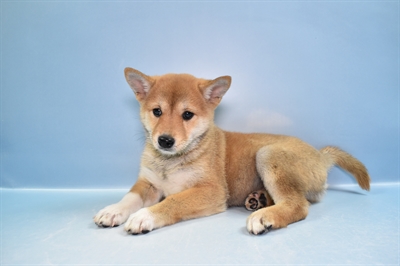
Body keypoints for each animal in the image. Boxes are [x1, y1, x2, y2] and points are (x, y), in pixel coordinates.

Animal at [92, 67, 370, 236]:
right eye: (157, 111)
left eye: (187, 115)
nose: (165, 140)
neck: (170, 162)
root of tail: (321, 157)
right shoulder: (148, 184)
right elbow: (129, 197)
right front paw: (112, 210)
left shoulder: (211, 191)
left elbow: (173, 201)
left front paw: (145, 216)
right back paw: (259, 200)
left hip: (268, 154)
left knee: (298, 205)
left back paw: (265, 215)